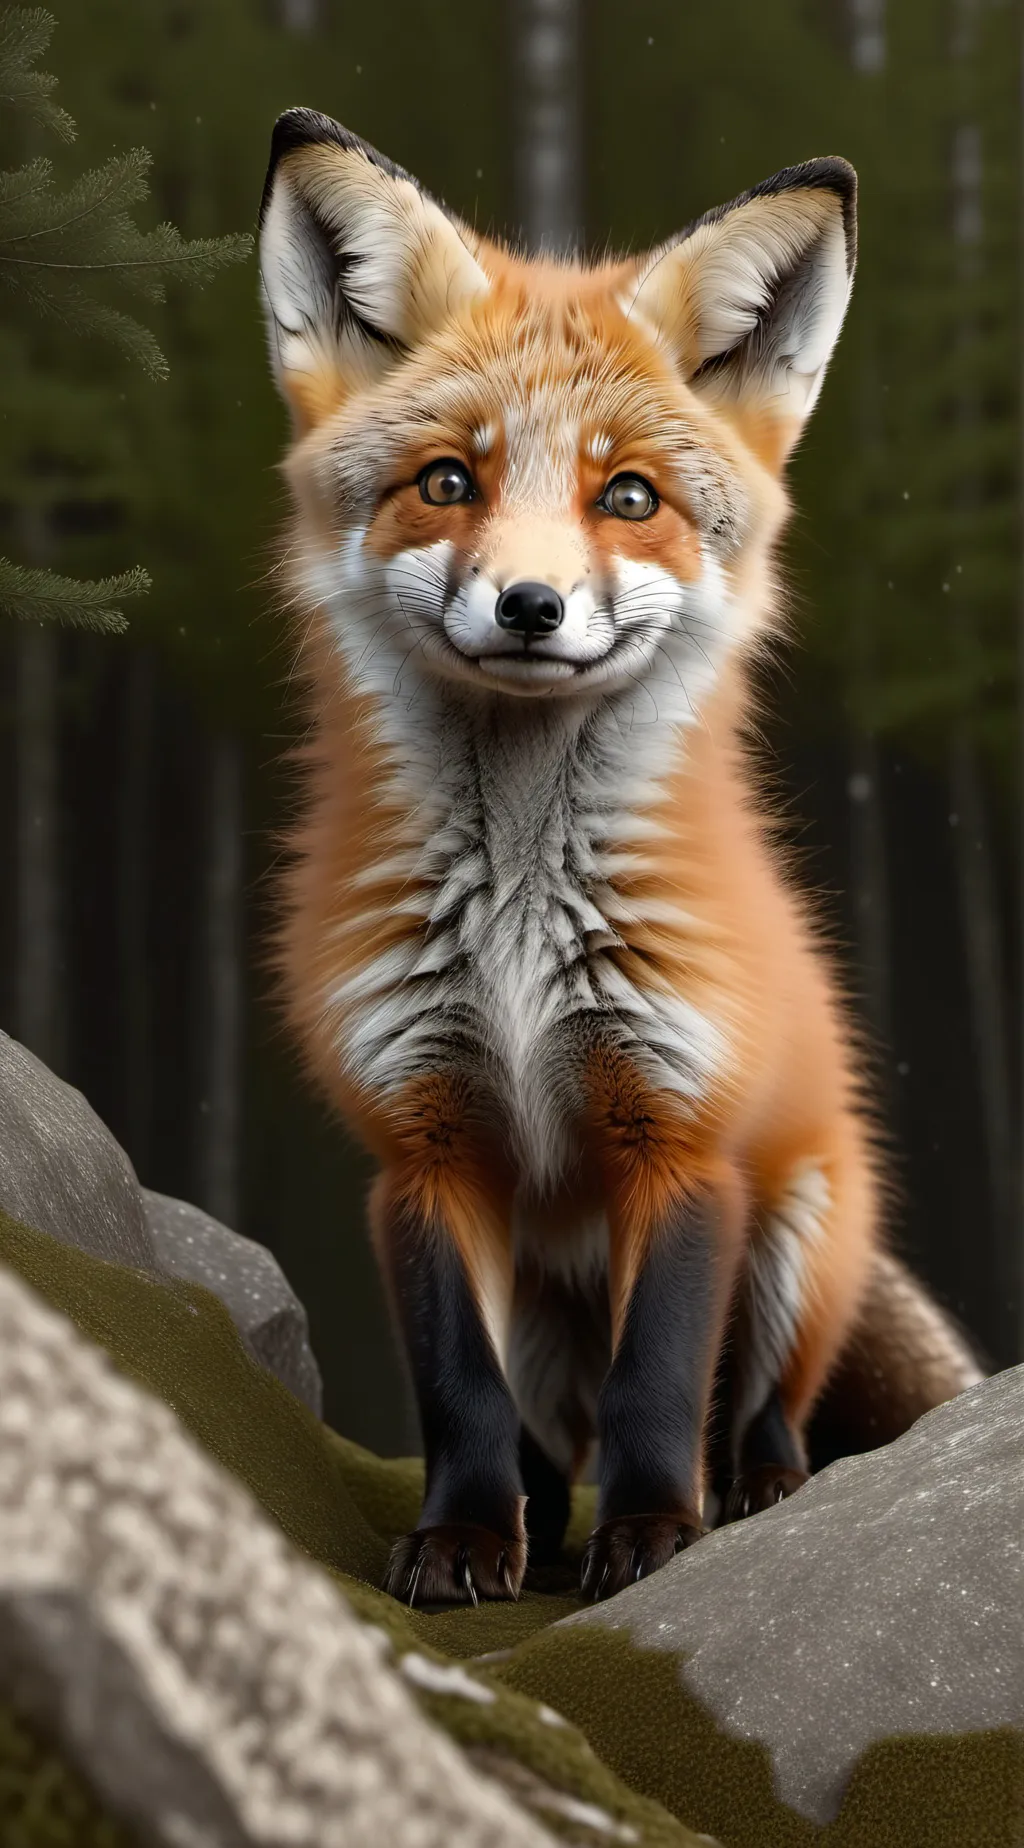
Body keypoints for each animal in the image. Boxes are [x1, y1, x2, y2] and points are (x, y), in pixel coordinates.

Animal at [258, 109, 982, 1605]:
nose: (530, 605)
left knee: (758, 1403)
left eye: (628, 495)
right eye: (449, 482)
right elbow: (458, 1393)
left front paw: (652, 1535)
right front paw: (466, 1541)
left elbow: (661, 1378)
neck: (520, 937)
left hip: (803, 1230)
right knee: (547, 1432)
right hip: (550, 1312)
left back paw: (754, 1493)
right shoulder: (422, 1150)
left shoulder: (682, 1136)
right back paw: (538, 1530)